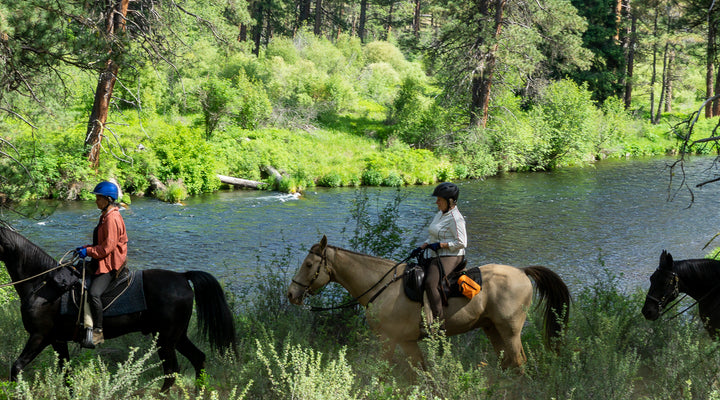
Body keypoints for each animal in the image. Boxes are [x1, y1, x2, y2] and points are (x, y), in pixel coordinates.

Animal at [0, 226, 237, 392]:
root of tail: (182, 277)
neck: (44, 286)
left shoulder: (40, 336)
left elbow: (16, 367)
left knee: (171, 371)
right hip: (177, 336)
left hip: (166, 339)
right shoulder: (57, 340)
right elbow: (67, 374)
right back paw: (198, 391)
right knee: (198, 358)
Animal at [287, 235, 571, 369]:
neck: (380, 286)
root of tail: (522, 272)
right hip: (492, 328)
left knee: (519, 361)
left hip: (510, 330)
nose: (291, 294)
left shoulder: (389, 340)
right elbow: (422, 371)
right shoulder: (407, 341)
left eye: (309, 264)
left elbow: (383, 371)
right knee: (508, 362)